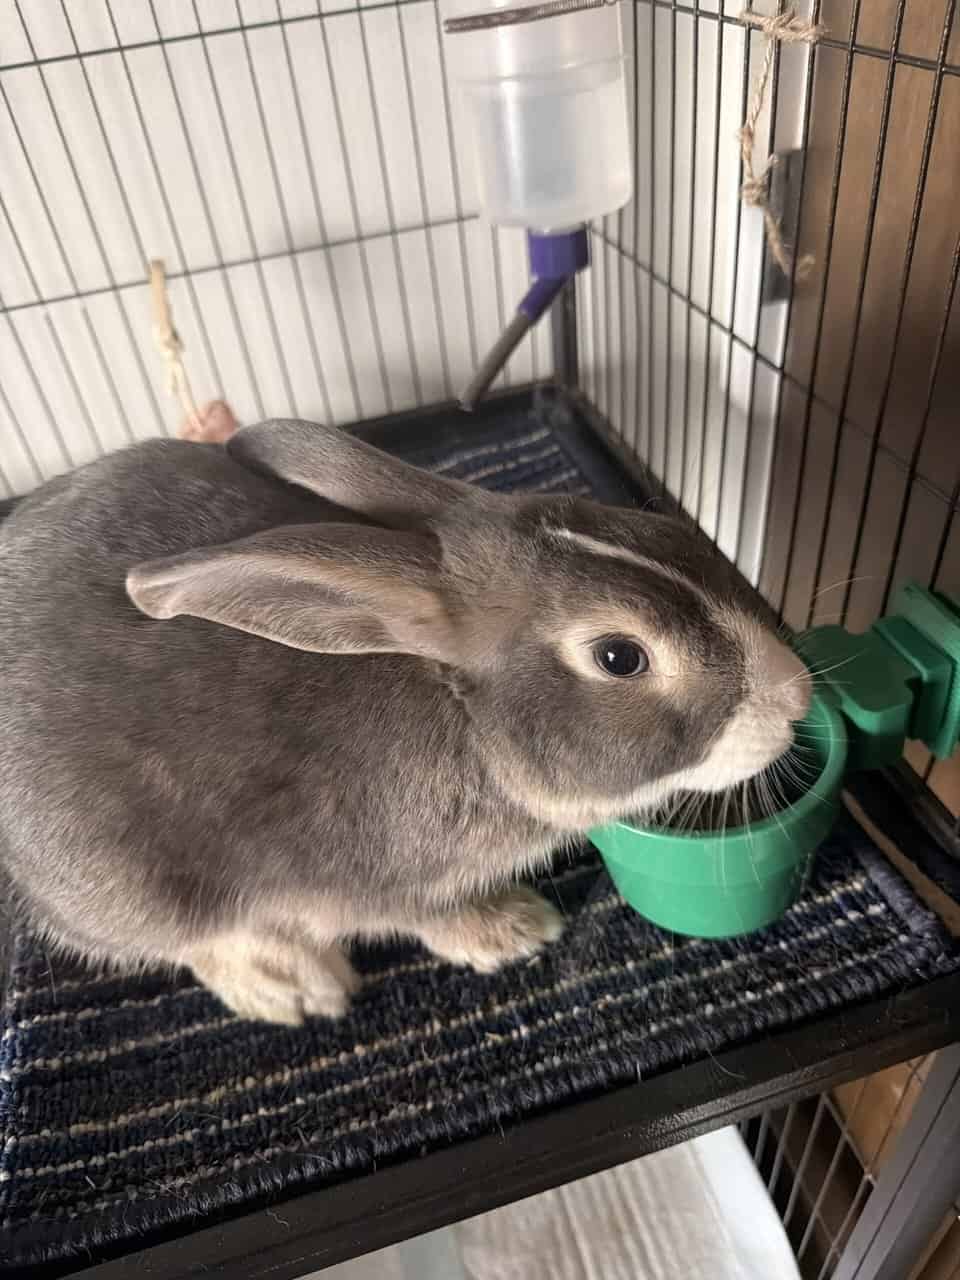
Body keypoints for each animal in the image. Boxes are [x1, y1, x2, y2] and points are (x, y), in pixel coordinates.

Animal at [0, 420, 810, 1023]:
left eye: (652, 525)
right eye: (620, 656)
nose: (796, 697)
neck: (465, 715)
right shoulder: (381, 882)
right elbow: (421, 920)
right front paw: (511, 931)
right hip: (127, 883)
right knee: (184, 941)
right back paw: (294, 988)